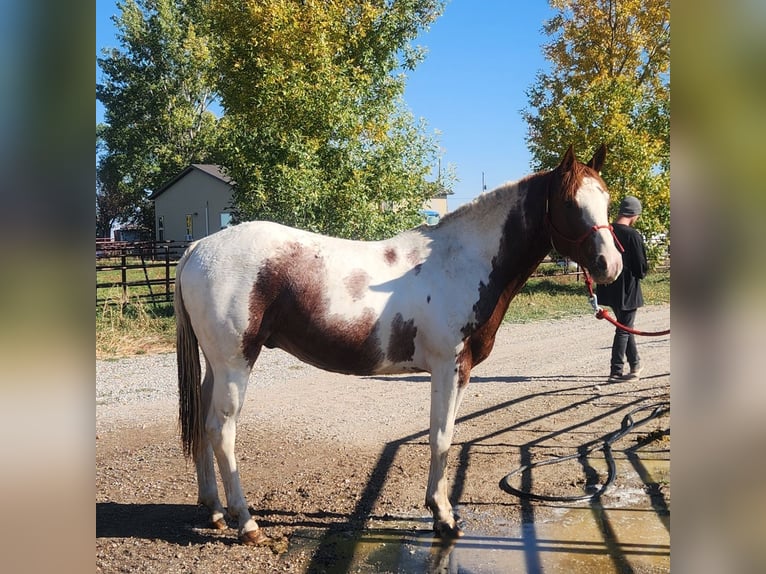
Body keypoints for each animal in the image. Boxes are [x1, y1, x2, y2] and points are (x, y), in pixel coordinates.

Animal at [174, 144, 624, 544]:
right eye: (569, 203)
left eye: (605, 198)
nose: (611, 266)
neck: (461, 262)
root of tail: (197, 248)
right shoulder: (447, 367)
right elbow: (440, 437)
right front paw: (444, 517)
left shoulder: (459, 371)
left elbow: (445, 435)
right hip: (235, 364)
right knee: (221, 431)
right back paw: (247, 523)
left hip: (216, 365)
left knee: (202, 423)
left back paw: (215, 510)